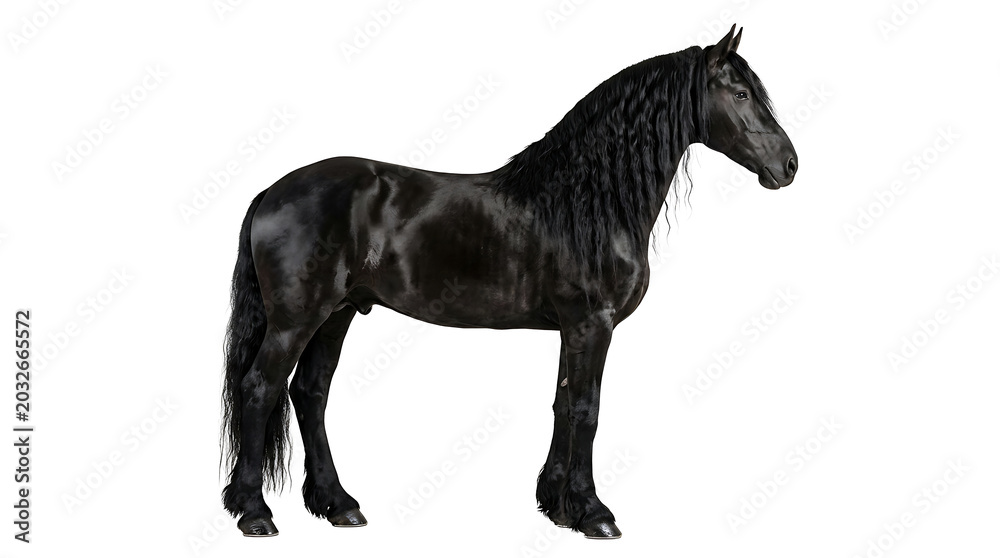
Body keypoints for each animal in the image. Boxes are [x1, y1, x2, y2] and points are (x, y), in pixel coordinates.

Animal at [220, 25, 797, 539]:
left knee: (309, 393)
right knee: (260, 388)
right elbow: (587, 410)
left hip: (336, 314)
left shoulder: (573, 328)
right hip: (297, 318)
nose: (789, 165)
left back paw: (339, 505)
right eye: (741, 93)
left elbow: (563, 405)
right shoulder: (593, 324)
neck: (586, 201)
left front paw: (557, 506)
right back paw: (254, 513)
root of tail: (273, 190)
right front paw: (594, 513)